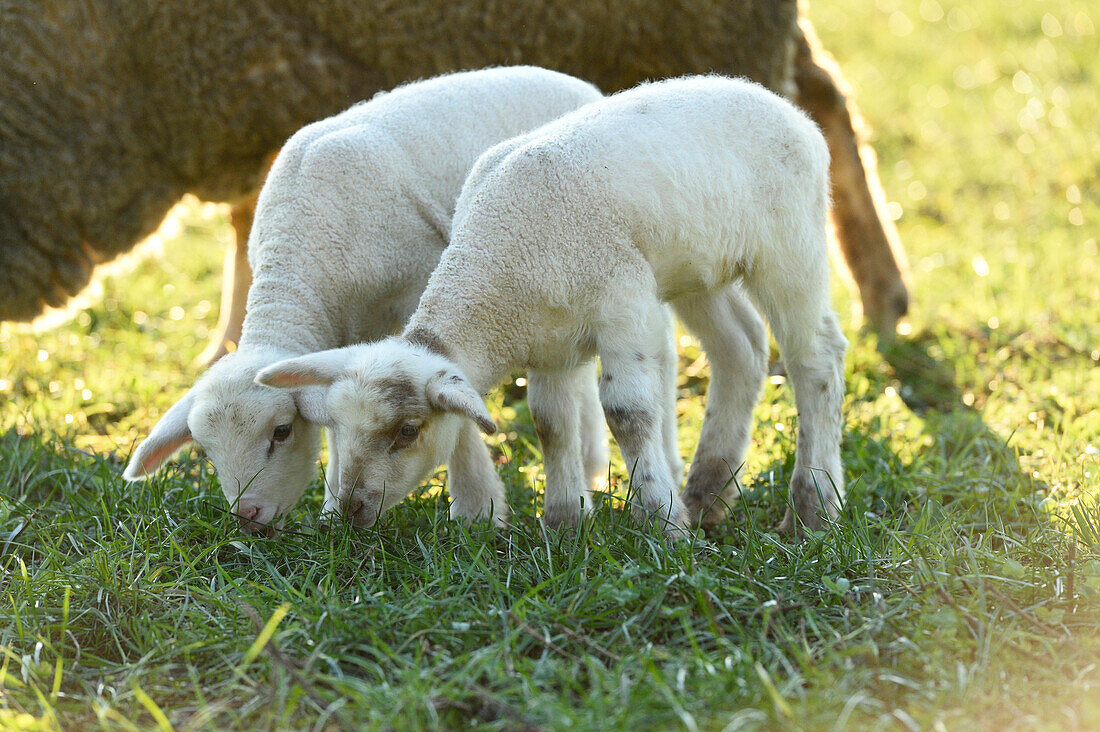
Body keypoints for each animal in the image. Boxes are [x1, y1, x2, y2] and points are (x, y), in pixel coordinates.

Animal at [0, 0, 910, 363]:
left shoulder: (266, 93)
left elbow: (245, 235)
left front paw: (226, 347)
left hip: (720, 36)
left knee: (807, 108)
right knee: (824, 95)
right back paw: (886, 297)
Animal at [123, 65, 607, 530]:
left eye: (281, 432)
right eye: (206, 452)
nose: (247, 516)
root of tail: (572, 81)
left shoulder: (418, 293)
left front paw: (477, 511)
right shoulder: (343, 336)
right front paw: (332, 511)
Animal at [255, 74, 849, 534]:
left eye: (407, 431)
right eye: (336, 425)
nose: (352, 510)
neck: (497, 267)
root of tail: (781, 105)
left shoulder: (622, 303)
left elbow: (628, 413)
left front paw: (660, 522)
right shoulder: (551, 338)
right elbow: (550, 421)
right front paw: (564, 525)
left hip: (790, 247)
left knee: (816, 359)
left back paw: (813, 509)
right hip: (699, 268)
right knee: (742, 348)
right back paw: (707, 493)